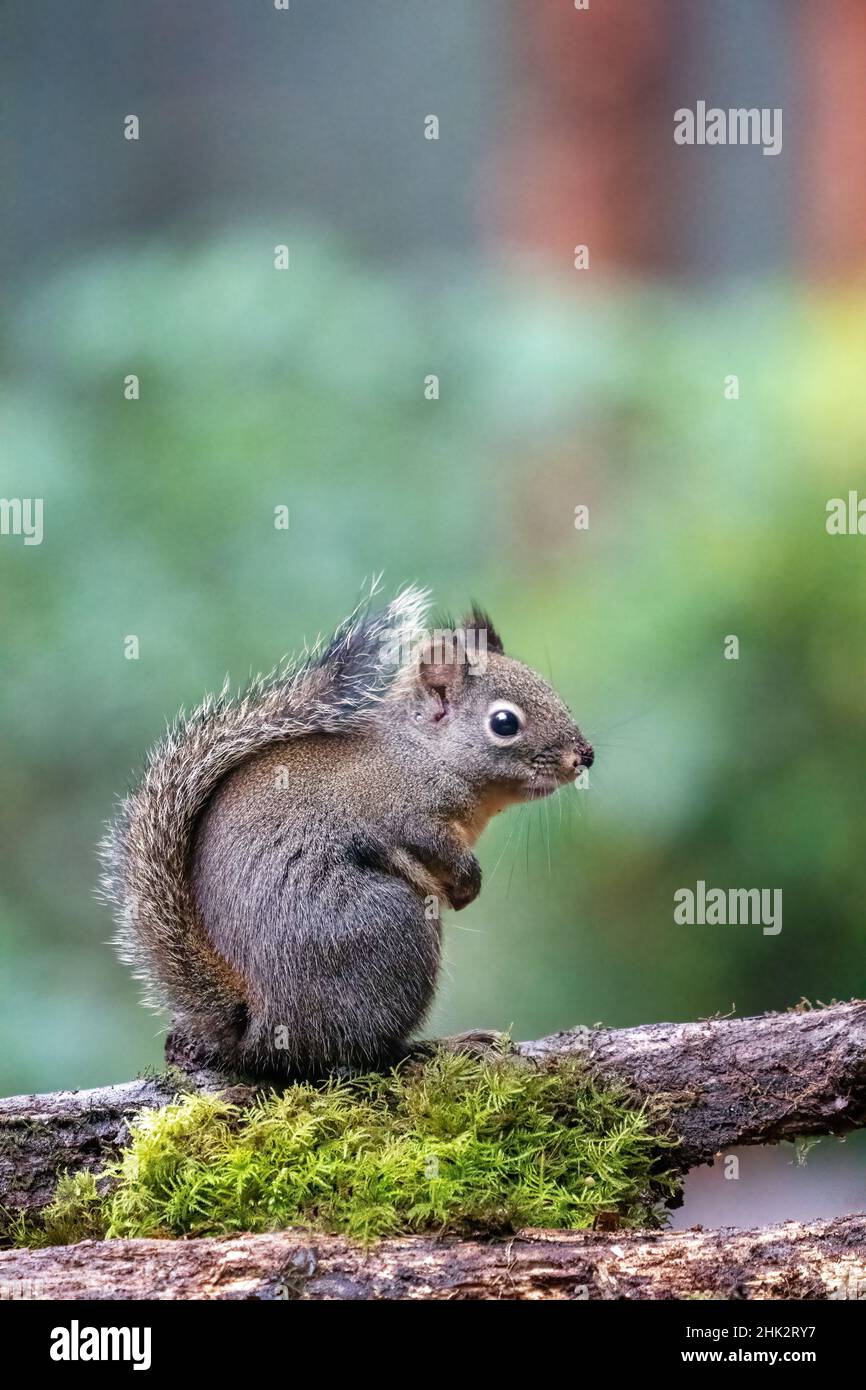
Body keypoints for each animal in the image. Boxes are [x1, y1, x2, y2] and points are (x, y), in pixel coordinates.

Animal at [100, 586, 594, 1079]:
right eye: (504, 723)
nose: (585, 756)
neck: (425, 752)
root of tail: (255, 1030)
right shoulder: (403, 812)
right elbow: (431, 845)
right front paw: (468, 883)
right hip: (390, 927)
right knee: (362, 1051)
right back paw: (440, 1047)